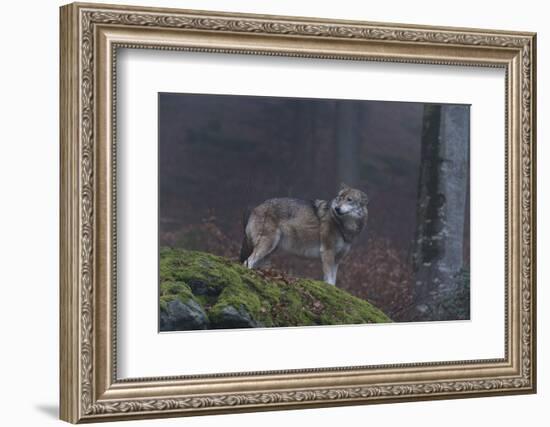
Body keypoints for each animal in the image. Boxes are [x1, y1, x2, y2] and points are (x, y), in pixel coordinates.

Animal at [239, 186, 368, 286]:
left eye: (349, 200)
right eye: (339, 198)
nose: (337, 208)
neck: (343, 225)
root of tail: (256, 208)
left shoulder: (337, 259)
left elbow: (334, 280)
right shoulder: (327, 252)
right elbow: (329, 279)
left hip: (270, 251)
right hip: (267, 245)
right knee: (248, 261)